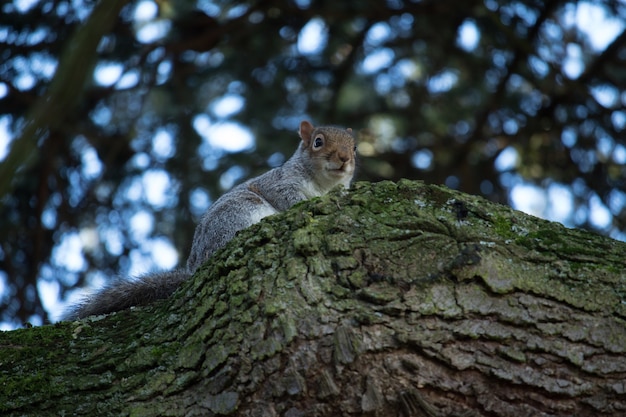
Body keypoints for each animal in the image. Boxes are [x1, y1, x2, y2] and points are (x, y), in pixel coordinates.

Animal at [64, 120, 356, 318]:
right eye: (318, 142)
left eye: (354, 147)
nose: (344, 158)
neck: (324, 184)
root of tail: (195, 267)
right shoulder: (280, 184)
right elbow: (290, 199)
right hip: (238, 212)